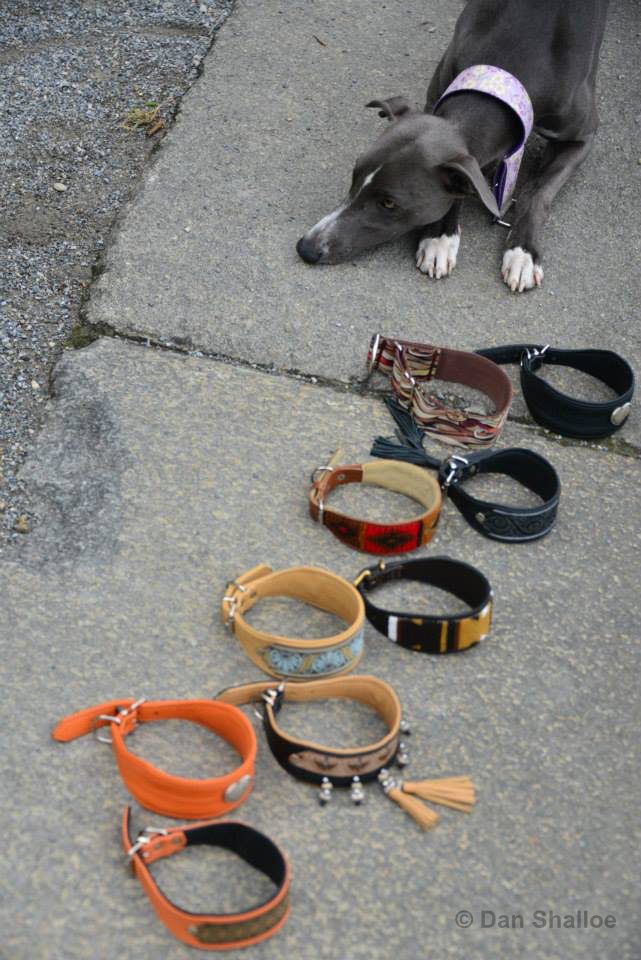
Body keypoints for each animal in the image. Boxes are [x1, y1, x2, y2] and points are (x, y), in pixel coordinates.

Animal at [298, 0, 608, 292]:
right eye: (354, 174)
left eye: (389, 203)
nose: (306, 248)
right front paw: (440, 237)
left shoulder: (582, 138)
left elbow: (538, 193)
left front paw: (523, 252)